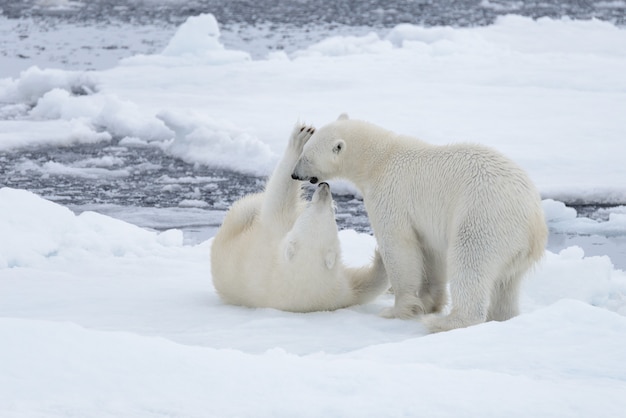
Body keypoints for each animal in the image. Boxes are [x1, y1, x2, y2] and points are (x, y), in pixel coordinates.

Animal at [290, 113, 544, 330]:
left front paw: (398, 310)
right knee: (507, 284)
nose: (294, 174)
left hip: (485, 217)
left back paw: (446, 322)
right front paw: (430, 302)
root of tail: (534, 221)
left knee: (470, 261)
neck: (379, 159)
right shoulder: (427, 222)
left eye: (306, 155)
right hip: (514, 248)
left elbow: (399, 247)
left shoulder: (391, 195)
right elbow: (431, 253)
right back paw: (501, 317)